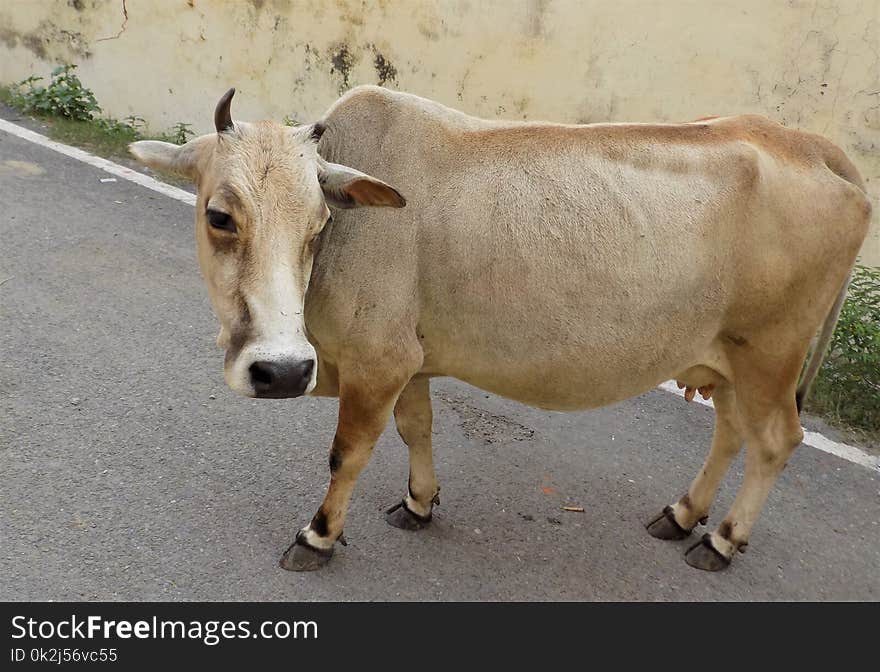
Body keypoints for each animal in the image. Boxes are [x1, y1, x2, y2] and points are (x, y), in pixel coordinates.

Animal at [127, 86, 868, 572]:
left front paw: (318, 536)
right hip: (727, 359)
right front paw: (420, 502)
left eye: (319, 223)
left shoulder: (377, 361)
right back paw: (682, 513)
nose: (281, 369)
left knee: (774, 441)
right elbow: (416, 429)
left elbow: (348, 454)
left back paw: (720, 540)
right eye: (220, 216)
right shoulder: (410, 361)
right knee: (732, 430)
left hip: (770, 355)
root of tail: (810, 144)